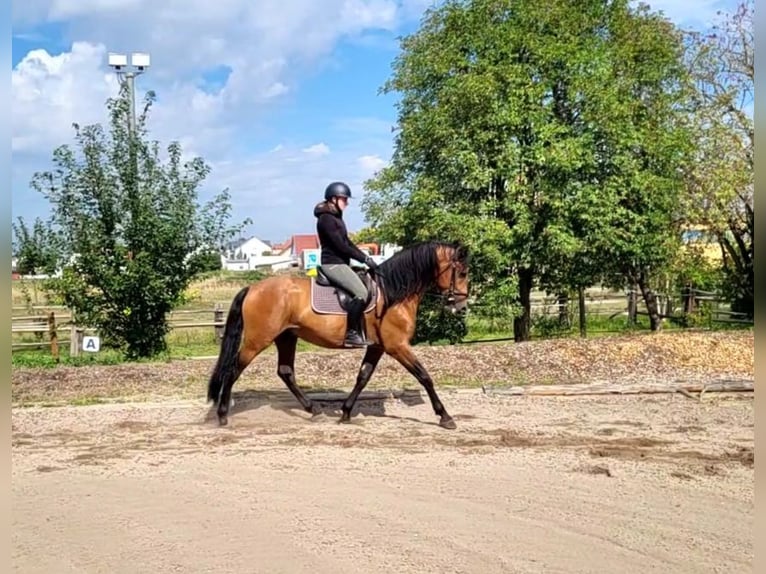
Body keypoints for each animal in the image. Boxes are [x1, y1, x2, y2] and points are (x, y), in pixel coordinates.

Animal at [206, 240, 471, 429]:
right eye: (462, 273)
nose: (461, 306)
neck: (392, 294)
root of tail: (252, 288)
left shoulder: (377, 346)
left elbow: (363, 377)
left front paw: (345, 412)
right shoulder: (397, 346)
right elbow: (424, 376)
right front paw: (445, 417)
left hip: (287, 337)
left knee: (285, 372)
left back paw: (313, 410)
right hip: (257, 340)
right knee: (233, 370)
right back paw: (222, 416)